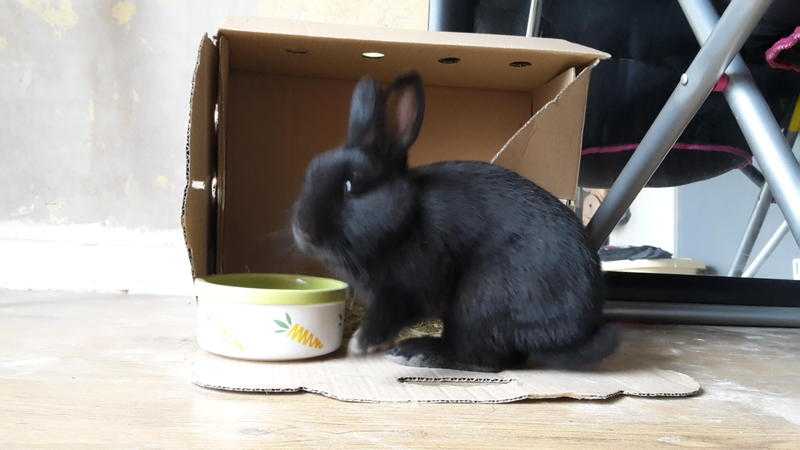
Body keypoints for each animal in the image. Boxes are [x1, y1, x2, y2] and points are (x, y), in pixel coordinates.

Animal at [290, 71, 616, 372]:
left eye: (351, 185)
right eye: (311, 172)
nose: (303, 230)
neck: (404, 219)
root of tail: (578, 329)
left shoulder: (407, 287)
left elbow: (389, 315)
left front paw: (360, 344)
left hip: (479, 300)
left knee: (482, 359)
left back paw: (417, 352)